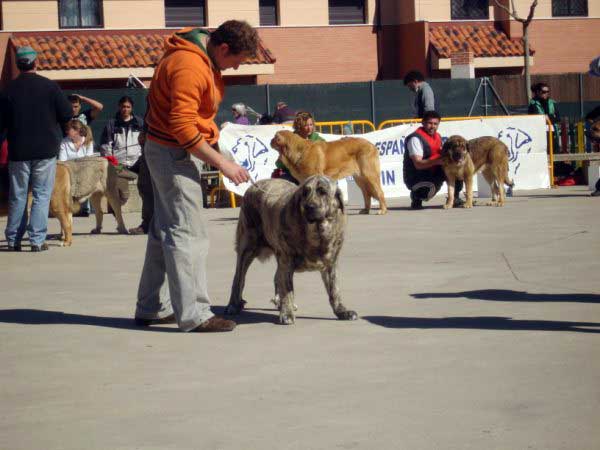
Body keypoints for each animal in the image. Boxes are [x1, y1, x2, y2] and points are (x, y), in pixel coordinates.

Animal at [224, 174, 356, 326]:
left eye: (322, 192)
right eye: (305, 193)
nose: (309, 206)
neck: (317, 233)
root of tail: (253, 186)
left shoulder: (331, 264)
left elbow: (334, 290)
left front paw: (341, 310)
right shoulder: (287, 260)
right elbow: (287, 289)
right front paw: (287, 313)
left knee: (276, 277)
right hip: (247, 248)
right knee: (239, 278)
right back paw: (233, 305)